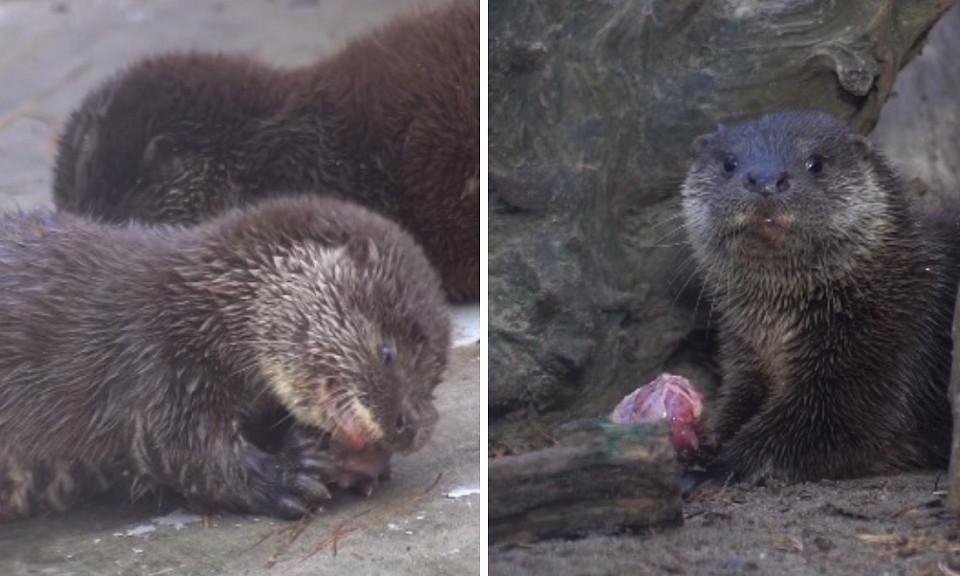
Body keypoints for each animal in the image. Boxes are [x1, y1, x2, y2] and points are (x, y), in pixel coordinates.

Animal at [680, 110, 960, 484]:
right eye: (729, 163)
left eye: (815, 163)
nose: (765, 180)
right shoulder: (746, 357)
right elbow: (737, 404)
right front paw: (707, 445)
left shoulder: (889, 347)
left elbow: (824, 427)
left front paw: (716, 465)